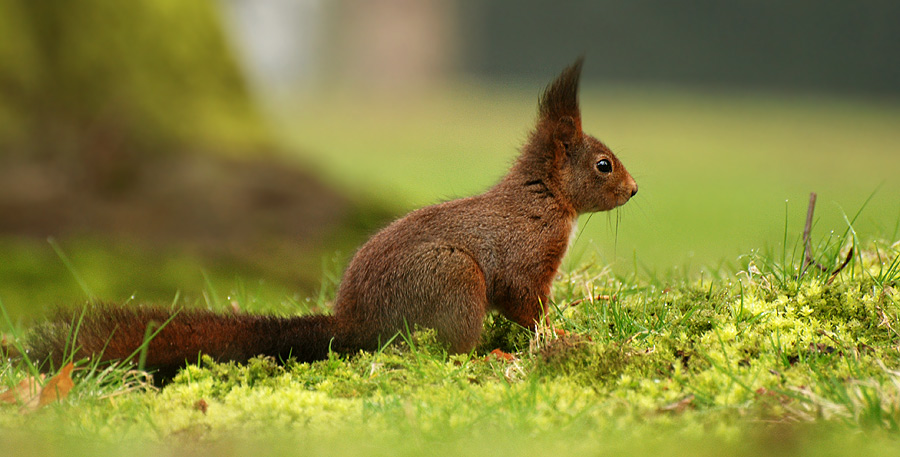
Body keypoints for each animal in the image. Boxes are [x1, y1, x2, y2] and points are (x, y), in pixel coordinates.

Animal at [28, 58, 640, 380]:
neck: (547, 198)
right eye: (603, 165)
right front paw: (555, 334)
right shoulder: (523, 257)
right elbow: (525, 303)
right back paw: (490, 352)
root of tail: (354, 325)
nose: (635, 190)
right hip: (453, 280)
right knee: (442, 350)